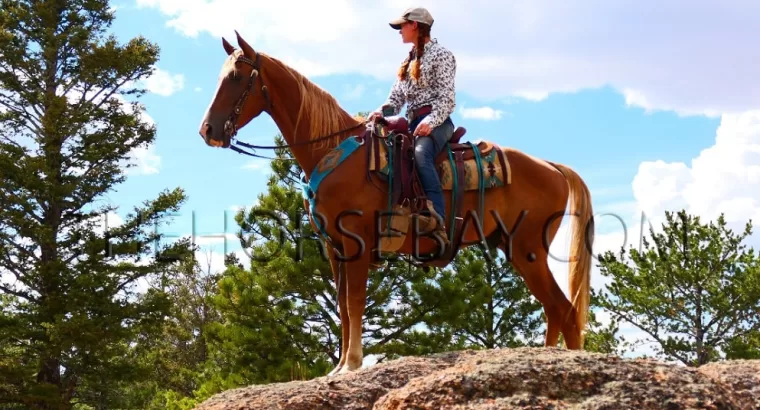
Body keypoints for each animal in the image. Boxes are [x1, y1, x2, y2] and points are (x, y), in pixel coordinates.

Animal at [199, 30, 596, 376]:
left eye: (236, 76)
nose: (208, 131)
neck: (334, 151)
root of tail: (552, 167)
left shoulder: (356, 244)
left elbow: (355, 302)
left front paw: (352, 364)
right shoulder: (334, 248)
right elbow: (342, 306)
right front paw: (339, 366)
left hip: (529, 251)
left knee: (563, 310)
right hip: (515, 249)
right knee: (555, 311)